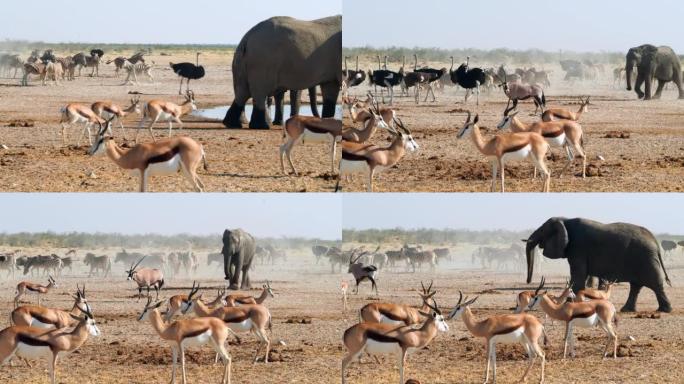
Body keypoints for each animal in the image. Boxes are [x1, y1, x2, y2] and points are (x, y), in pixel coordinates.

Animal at [528, 218, 672, 314]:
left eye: (542, 230)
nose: (529, 282)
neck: (565, 219)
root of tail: (655, 241)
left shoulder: (578, 248)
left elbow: (578, 276)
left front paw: (570, 304)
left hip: (646, 259)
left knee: (655, 284)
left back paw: (664, 310)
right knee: (636, 286)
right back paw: (627, 310)